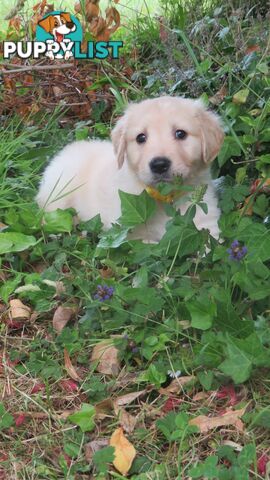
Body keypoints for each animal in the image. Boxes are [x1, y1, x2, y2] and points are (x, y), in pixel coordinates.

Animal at [37, 96, 225, 242]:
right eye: (141, 137)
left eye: (181, 133)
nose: (159, 165)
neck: (164, 197)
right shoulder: (127, 232)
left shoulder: (206, 222)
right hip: (59, 194)